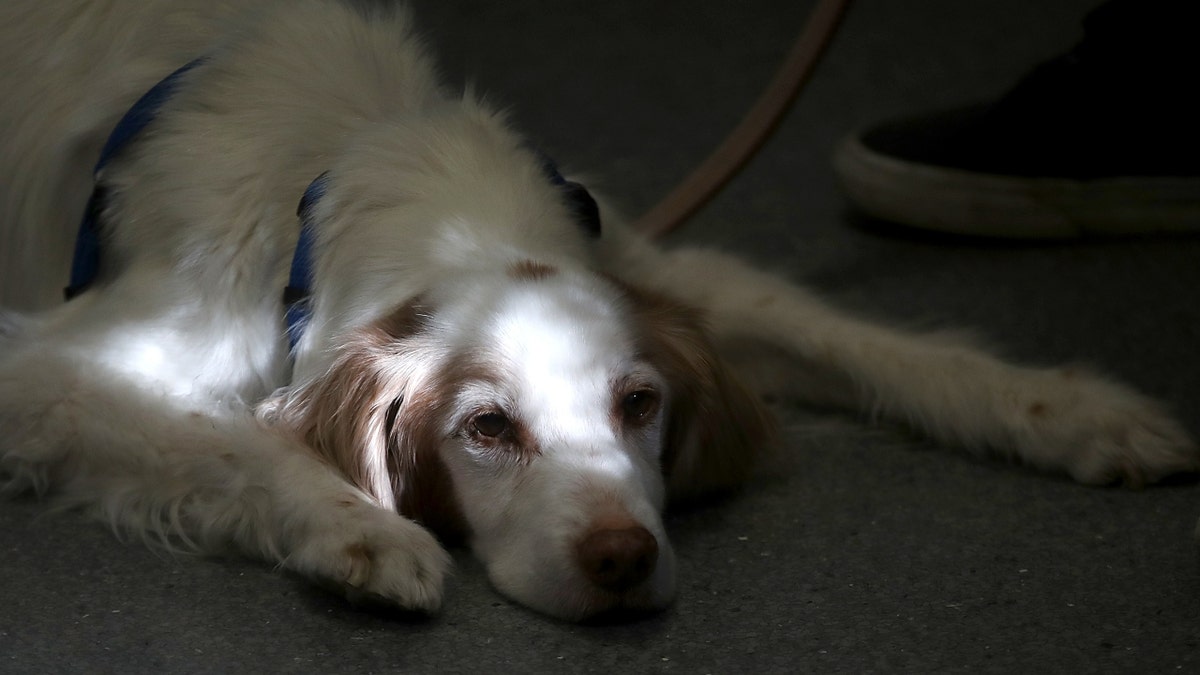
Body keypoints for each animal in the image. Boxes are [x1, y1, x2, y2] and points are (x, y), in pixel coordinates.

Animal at [2, 0, 1200, 619]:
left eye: (640, 406)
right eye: (487, 429)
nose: (621, 560)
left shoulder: (656, 267)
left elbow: (863, 340)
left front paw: (1077, 412)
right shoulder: (55, 363)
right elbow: (236, 443)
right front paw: (359, 530)